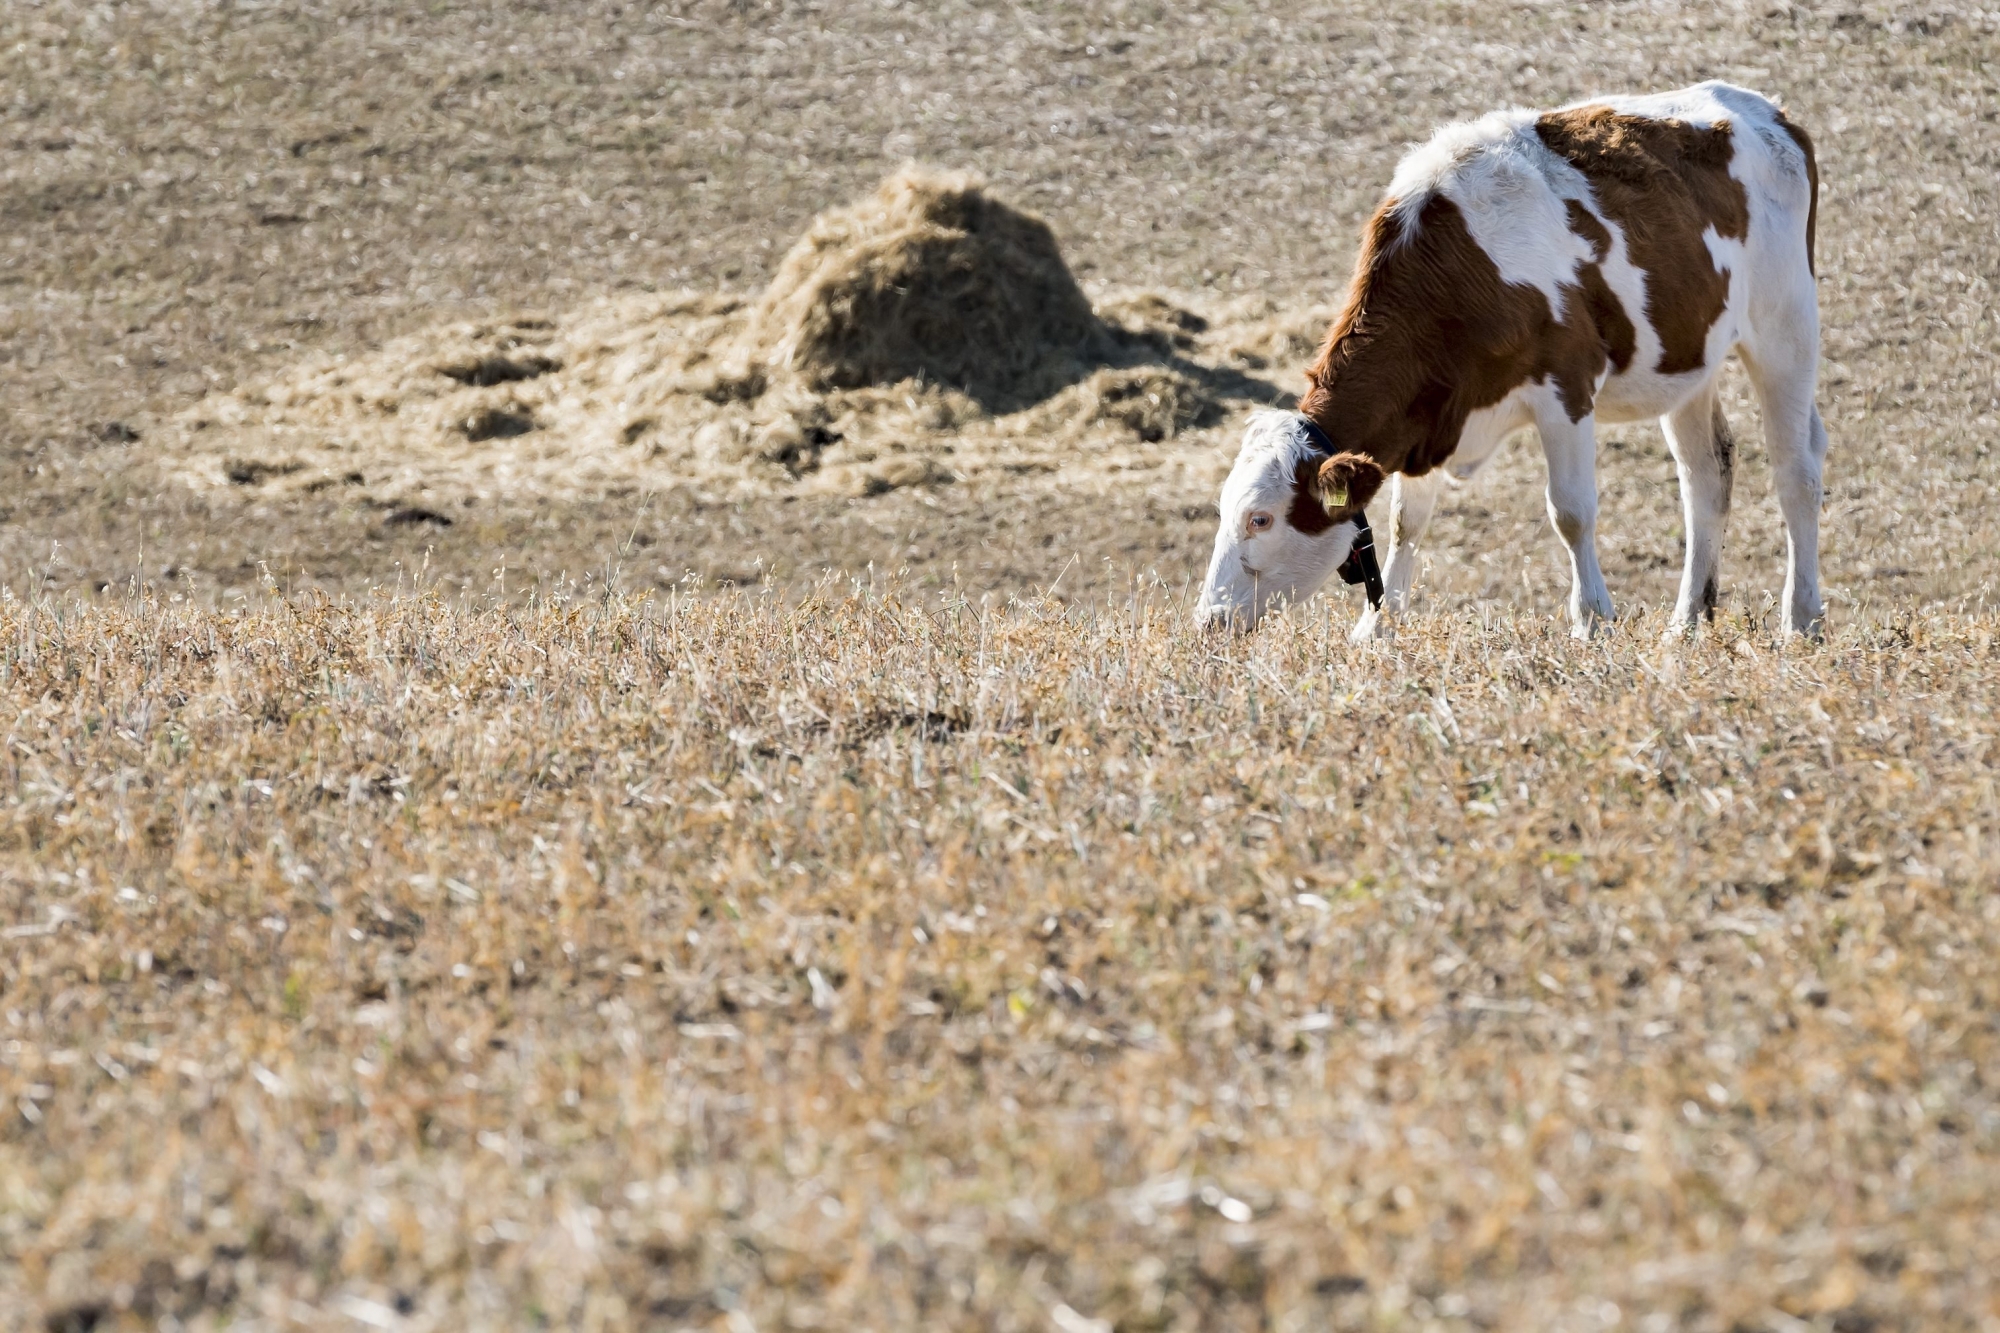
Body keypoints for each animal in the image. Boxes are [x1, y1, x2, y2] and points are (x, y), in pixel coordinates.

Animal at [1192, 80, 1824, 640]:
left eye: (1260, 518)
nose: (1208, 621)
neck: (1457, 271)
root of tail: (1769, 112)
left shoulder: (1566, 387)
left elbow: (1571, 511)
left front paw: (1593, 622)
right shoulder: (1424, 416)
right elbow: (1406, 522)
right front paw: (1377, 629)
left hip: (1786, 328)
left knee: (1796, 471)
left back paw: (1802, 620)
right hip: (1689, 358)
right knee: (1706, 475)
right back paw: (1685, 624)